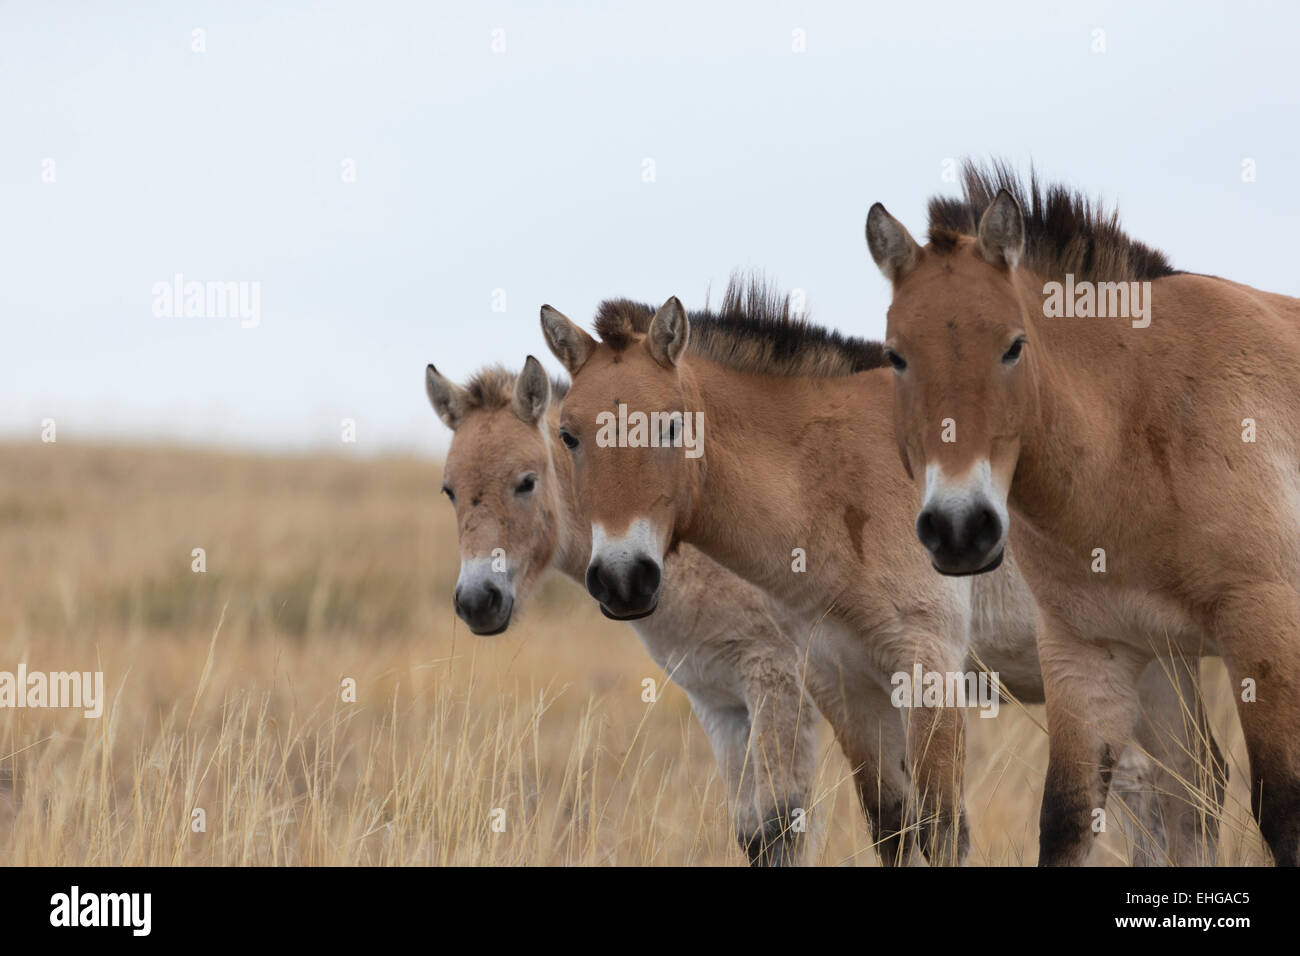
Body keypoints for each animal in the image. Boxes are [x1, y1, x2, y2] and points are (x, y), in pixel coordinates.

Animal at [426, 358, 816, 868]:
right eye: (449, 491)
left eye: (526, 482)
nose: (477, 601)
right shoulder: (719, 699)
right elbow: (755, 831)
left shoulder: (778, 683)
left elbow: (781, 826)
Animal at [540, 278, 1227, 868]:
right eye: (569, 436)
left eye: (671, 425)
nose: (624, 579)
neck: (838, 481)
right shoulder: (840, 682)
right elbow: (892, 829)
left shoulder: (927, 666)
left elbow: (942, 828)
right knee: (1194, 787)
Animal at [863, 162, 1289, 868]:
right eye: (896, 356)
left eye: (1014, 347)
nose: (959, 530)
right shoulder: (1088, 654)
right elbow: (1065, 820)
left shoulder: (1264, 625)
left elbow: (1285, 810)